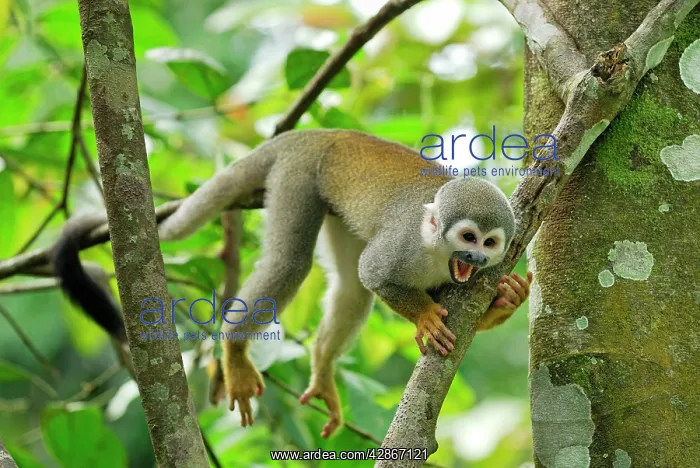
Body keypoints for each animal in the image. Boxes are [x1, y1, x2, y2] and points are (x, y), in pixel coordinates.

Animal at [53, 129, 531, 439]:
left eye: (490, 242)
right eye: (467, 237)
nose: (475, 257)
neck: (436, 253)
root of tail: (314, 133)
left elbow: (378, 285)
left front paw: (506, 299)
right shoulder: (404, 244)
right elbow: (374, 273)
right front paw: (426, 317)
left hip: (336, 203)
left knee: (350, 288)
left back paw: (321, 366)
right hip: (298, 176)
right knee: (294, 263)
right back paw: (234, 348)